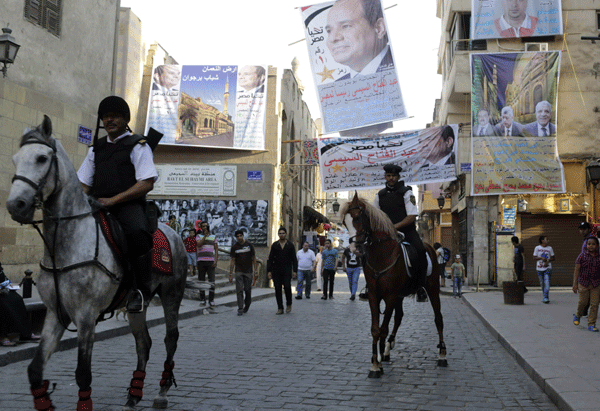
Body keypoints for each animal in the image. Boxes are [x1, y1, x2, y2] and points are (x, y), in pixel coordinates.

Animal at [5, 116, 186, 411]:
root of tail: (173, 233)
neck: (67, 246)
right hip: (138, 306)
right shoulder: (55, 314)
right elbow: (34, 370)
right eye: (15, 159)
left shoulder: (86, 315)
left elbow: (83, 374)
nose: (15, 206)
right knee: (144, 343)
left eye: (42, 158)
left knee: (170, 339)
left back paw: (161, 392)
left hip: (171, 295)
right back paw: (134, 395)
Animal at [340, 194, 448, 380]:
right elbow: (376, 329)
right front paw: (376, 363)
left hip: (432, 288)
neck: (382, 255)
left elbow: (383, 328)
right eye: (345, 223)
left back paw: (442, 354)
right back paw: (388, 349)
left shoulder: (390, 296)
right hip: (400, 296)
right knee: (399, 317)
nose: (354, 248)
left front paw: (377, 363)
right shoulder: (375, 296)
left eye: (358, 217)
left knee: (438, 318)